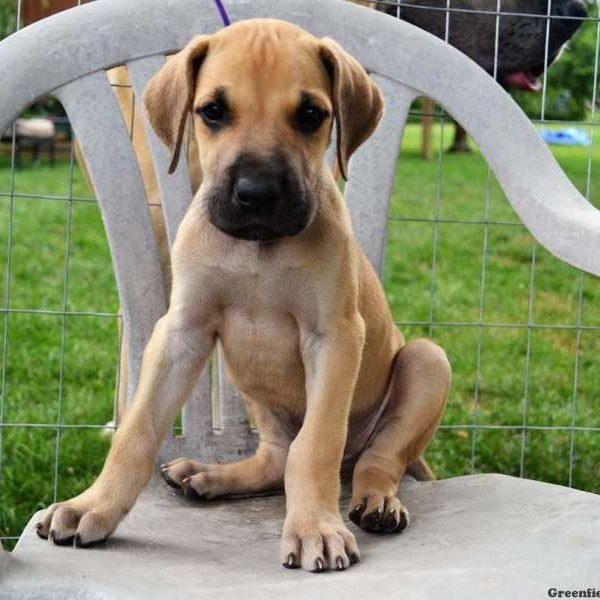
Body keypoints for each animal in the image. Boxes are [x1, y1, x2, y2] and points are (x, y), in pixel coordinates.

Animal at [37, 17, 450, 572]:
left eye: (311, 115)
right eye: (212, 111)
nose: (257, 194)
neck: (257, 251)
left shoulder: (335, 336)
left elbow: (316, 444)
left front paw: (315, 528)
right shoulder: (182, 331)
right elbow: (136, 432)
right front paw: (93, 506)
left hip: (426, 362)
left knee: (377, 457)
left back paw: (378, 500)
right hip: (250, 383)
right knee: (276, 456)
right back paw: (208, 476)